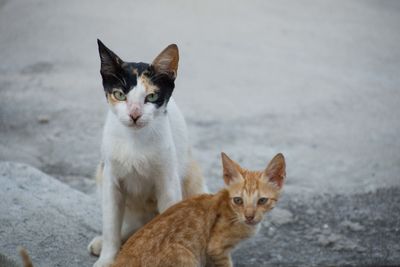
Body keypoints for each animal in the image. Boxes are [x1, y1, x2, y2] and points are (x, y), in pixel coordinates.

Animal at [88, 40, 206, 267]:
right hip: (101, 173)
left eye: (151, 96)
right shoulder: (110, 180)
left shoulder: (168, 183)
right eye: (120, 95)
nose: (134, 114)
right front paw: (107, 258)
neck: (135, 142)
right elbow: (111, 224)